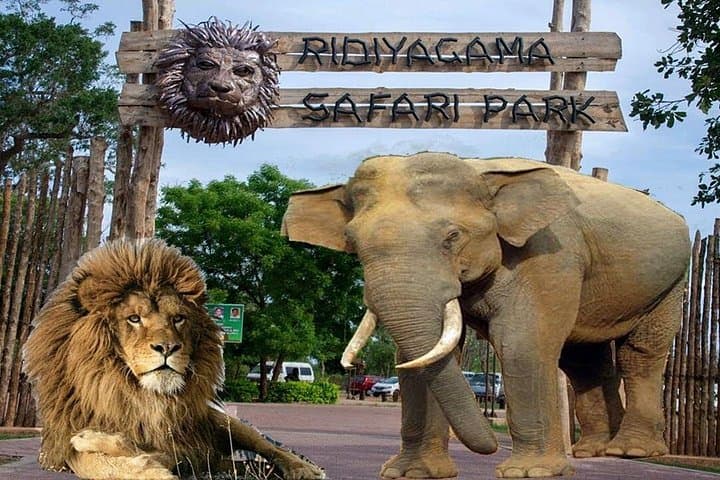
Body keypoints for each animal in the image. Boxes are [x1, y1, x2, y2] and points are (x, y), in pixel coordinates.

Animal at [23, 238, 324, 480]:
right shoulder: (62, 442)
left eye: (178, 318)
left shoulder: (185, 445)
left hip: (227, 424)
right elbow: (98, 463)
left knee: (270, 447)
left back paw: (306, 469)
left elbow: (146, 452)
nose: (167, 347)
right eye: (134, 318)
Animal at [281, 152, 690, 478]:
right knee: (583, 360)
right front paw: (409, 473)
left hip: (672, 280)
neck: (480, 172)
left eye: (452, 236)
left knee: (639, 354)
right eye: (353, 243)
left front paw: (530, 473)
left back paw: (630, 450)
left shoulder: (549, 252)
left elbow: (522, 343)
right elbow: (422, 356)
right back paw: (594, 451)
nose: (492, 444)